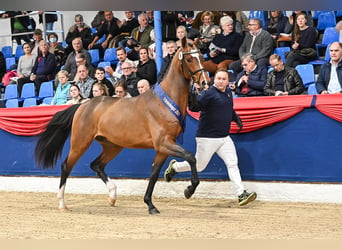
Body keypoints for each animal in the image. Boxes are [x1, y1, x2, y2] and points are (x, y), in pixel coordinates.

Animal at [35, 37, 211, 215]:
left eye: (201, 57)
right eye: (189, 59)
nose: (205, 82)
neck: (165, 103)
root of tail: (83, 105)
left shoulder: (163, 148)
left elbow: (154, 174)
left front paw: (150, 204)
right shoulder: (164, 143)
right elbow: (191, 157)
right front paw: (189, 190)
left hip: (112, 145)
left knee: (96, 165)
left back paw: (112, 196)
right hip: (80, 142)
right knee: (67, 166)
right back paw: (62, 203)